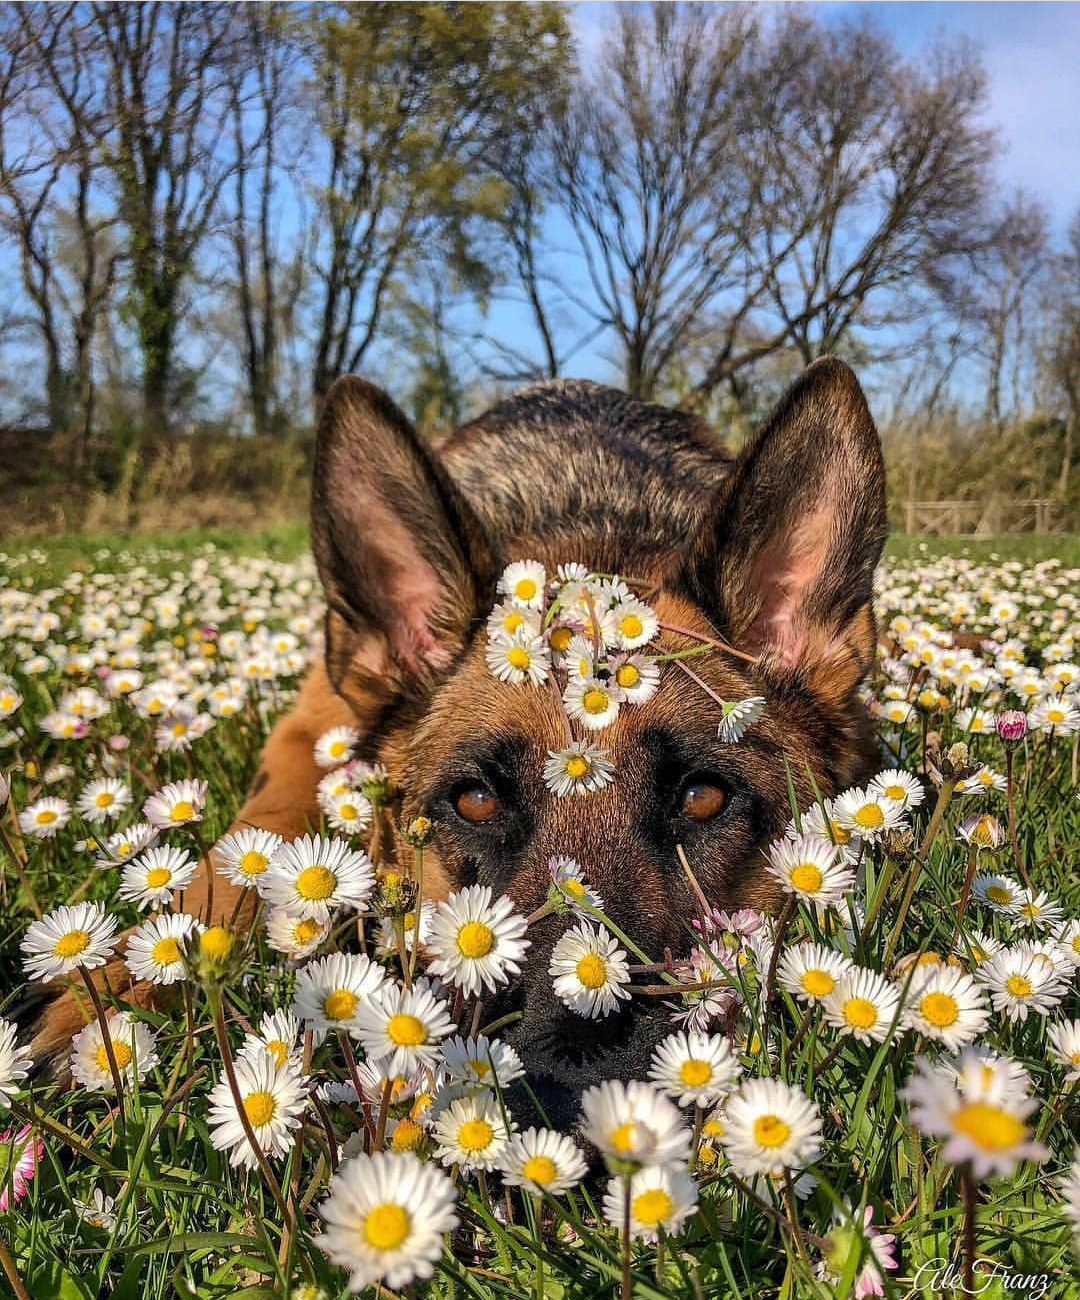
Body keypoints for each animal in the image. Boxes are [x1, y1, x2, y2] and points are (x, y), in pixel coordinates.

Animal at [31, 357, 886, 1126]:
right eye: (473, 801)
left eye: (703, 798)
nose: (569, 1096)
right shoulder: (302, 732)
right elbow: (243, 847)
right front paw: (113, 994)